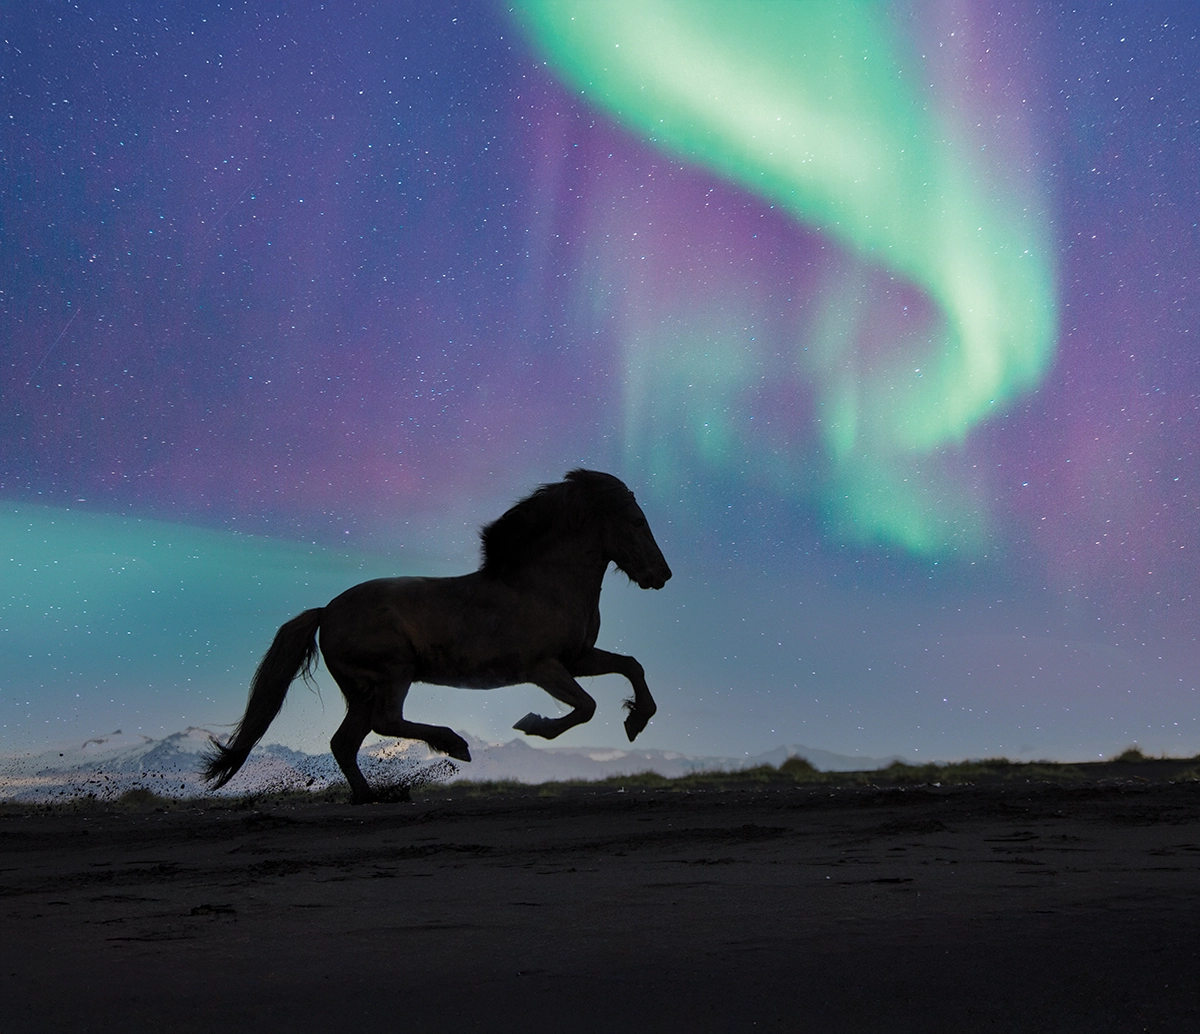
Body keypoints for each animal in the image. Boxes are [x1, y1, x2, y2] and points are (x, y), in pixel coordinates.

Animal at [201, 469, 672, 802]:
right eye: (635, 521)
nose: (662, 575)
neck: (543, 584)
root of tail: (326, 612)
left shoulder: (578, 657)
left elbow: (632, 666)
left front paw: (636, 720)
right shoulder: (543, 667)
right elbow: (586, 707)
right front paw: (532, 724)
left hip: (361, 690)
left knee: (345, 742)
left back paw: (374, 797)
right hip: (394, 673)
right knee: (385, 722)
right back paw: (454, 745)